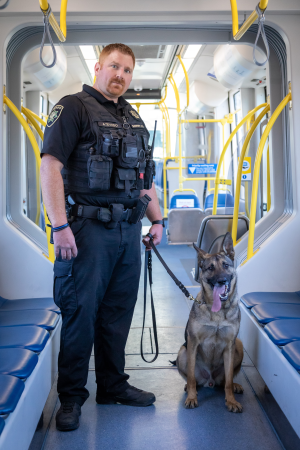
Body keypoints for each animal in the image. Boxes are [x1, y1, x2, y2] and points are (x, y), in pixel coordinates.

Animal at [176, 234, 244, 414]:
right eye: (210, 268)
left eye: (226, 265)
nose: (221, 280)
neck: (218, 311)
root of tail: (210, 381)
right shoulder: (192, 343)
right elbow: (191, 377)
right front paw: (192, 397)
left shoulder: (230, 345)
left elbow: (228, 380)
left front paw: (231, 401)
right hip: (182, 352)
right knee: (192, 378)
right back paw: (189, 388)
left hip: (238, 346)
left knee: (226, 381)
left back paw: (235, 386)